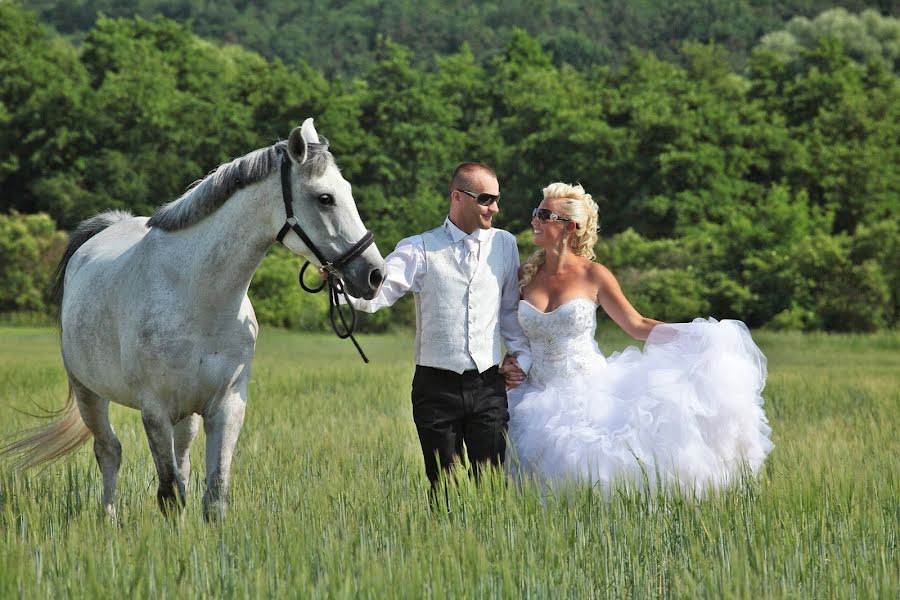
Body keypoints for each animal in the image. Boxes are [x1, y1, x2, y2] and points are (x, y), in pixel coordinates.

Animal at [0, 118, 384, 520]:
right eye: (325, 198)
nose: (375, 274)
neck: (197, 294)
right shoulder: (154, 409)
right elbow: (169, 494)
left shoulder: (227, 406)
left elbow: (213, 494)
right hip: (90, 393)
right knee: (109, 452)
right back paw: (108, 520)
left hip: (187, 415)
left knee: (180, 461)